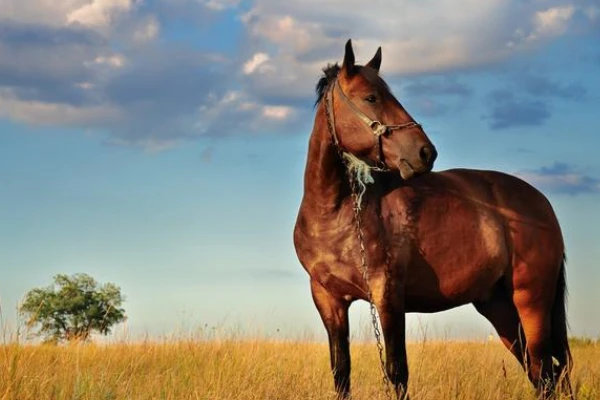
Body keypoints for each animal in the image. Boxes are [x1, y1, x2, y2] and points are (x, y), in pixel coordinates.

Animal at [292, 38, 576, 400]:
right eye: (371, 97)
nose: (425, 153)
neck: (335, 214)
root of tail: (542, 203)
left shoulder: (387, 296)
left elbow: (397, 372)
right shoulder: (328, 300)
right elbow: (341, 373)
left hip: (531, 301)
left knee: (544, 370)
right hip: (499, 307)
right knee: (538, 372)